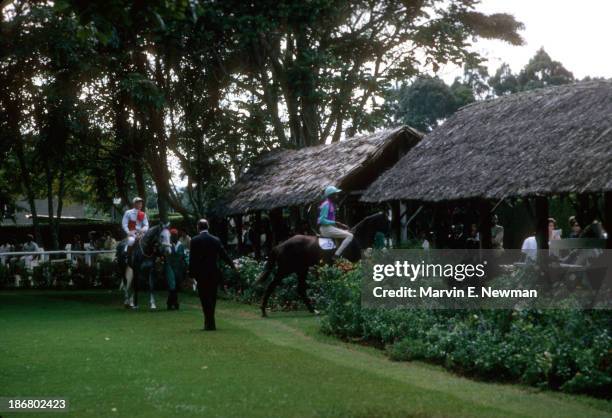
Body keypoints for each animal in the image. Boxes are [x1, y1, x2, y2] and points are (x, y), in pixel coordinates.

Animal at [256, 212, 390, 316]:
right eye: (387, 221)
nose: (389, 234)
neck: (357, 239)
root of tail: (280, 245)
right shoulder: (354, 264)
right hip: (285, 269)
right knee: (271, 286)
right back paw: (263, 311)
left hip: (302, 269)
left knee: (300, 289)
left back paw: (313, 310)